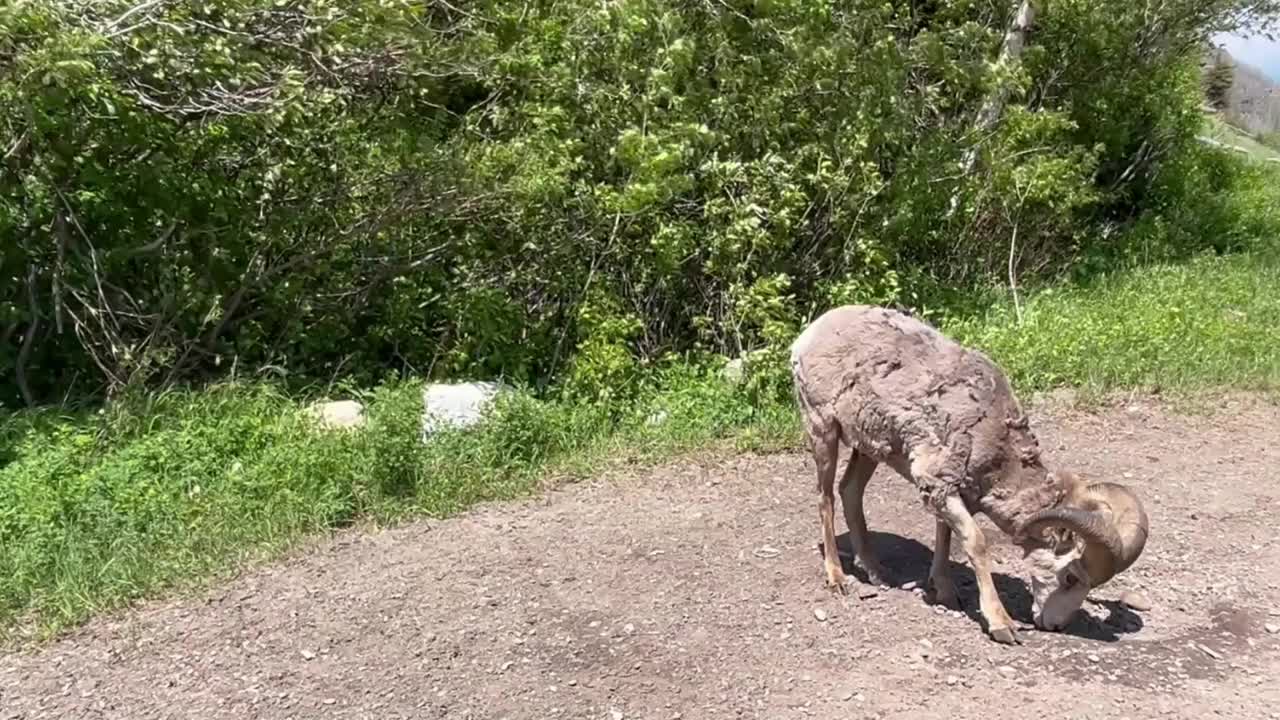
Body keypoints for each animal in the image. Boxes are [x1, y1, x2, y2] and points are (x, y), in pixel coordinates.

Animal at [788, 304, 1152, 640]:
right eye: (1071, 577)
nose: (1055, 625)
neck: (994, 442)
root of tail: (811, 333)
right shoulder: (939, 485)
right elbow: (975, 543)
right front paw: (1001, 625)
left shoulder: (950, 491)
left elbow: (946, 536)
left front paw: (945, 592)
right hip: (822, 429)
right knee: (825, 498)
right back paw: (838, 578)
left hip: (870, 446)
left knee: (850, 491)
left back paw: (875, 571)